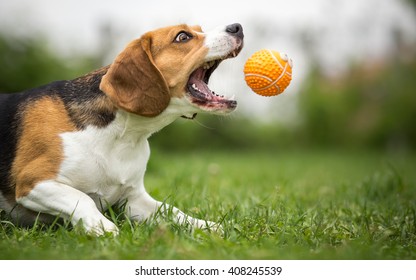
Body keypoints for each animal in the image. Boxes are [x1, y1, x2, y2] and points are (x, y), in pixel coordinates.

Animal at [0, 23, 244, 234]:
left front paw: (206, 226)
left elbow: (172, 210)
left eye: (199, 29)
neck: (122, 136)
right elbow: (82, 198)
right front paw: (104, 228)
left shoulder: (132, 200)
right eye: (182, 37)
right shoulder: (33, 183)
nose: (237, 27)